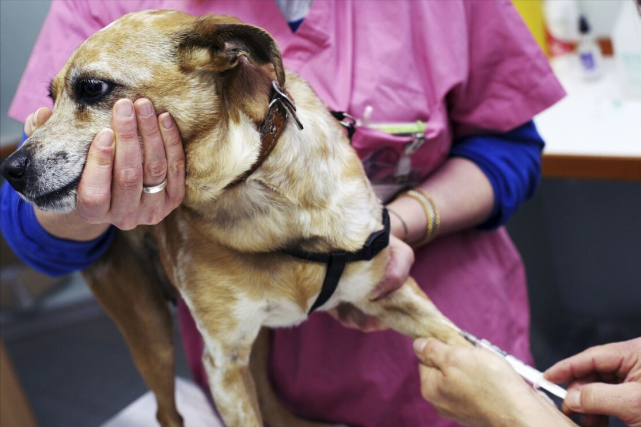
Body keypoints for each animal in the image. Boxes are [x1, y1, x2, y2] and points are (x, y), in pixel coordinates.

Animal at [2, 10, 468, 427]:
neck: (260, 192)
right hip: (151, 331)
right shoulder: (223, 361)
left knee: (270, 401)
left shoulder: (396, 293)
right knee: (167, 411)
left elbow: (465, 349)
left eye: (92, 88)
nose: (9, 170)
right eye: (51, 99)